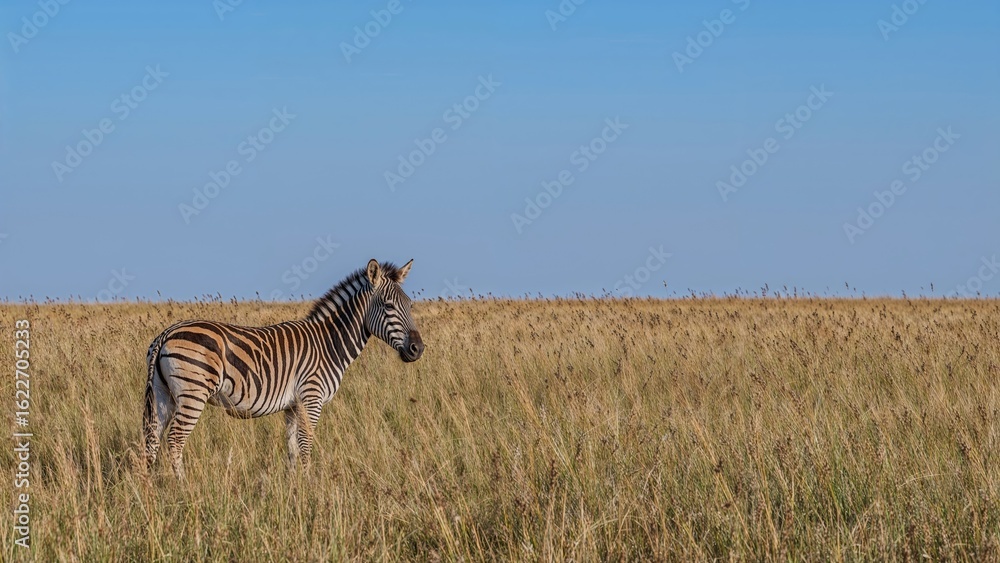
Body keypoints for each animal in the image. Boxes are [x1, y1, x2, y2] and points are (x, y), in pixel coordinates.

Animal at [142, 258, 424, 478]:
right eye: (388, 306)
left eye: (410, 305)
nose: (418, 349)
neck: (328, 344)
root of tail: (166, 333)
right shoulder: (312, 397)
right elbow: (306, 445)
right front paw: (311, 489)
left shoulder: (293, 405)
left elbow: (292, 449)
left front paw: (293, 488)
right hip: (193, 393)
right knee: (175, 440)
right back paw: (183, 488)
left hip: (164, 395)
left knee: (152, 439)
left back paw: (150, 491)